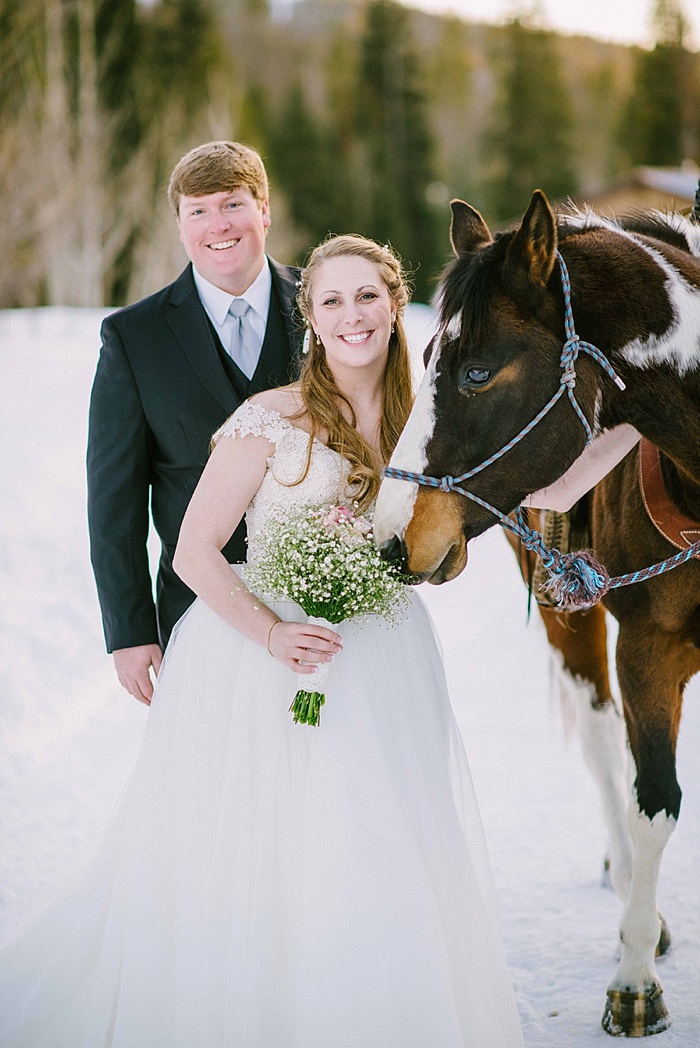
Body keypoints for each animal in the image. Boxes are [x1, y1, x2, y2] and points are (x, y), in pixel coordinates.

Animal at [375, 190, 699, 1039]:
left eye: (477, 371)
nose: (392, 537)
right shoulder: (647, 647)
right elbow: (652, 801)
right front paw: (634, 977)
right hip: (571, 617)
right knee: (601, 741)